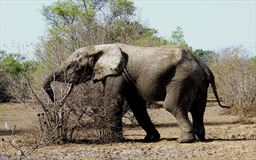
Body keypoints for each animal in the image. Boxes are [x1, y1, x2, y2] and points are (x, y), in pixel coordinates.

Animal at [43, 43, 229, 143]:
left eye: (73, 67)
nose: (54, 100)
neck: (100, 46)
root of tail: (205, 67)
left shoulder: (117, 74)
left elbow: (113, 101)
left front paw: (114, 140)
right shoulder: (128, 79)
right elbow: (137, 105)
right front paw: (151, 139)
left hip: (181, 80)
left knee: (173, 106)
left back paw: (184, 141)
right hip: (198, 83)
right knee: (198, 110)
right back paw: (201, 138)